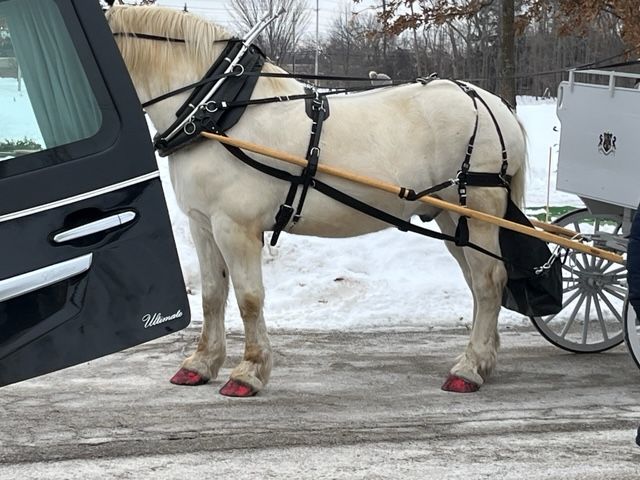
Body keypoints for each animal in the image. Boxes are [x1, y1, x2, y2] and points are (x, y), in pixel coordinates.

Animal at [106, 5, 528, 397]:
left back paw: (469, 368)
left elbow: (248, 298)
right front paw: (200, 364)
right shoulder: (203, 223)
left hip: (479, 212)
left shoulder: (235, 227)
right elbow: (212, 295)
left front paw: (248, 372)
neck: (220, 113)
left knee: (489, 282)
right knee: (475, 281)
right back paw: (481, 359)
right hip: (450, 218)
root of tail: (493, 104)